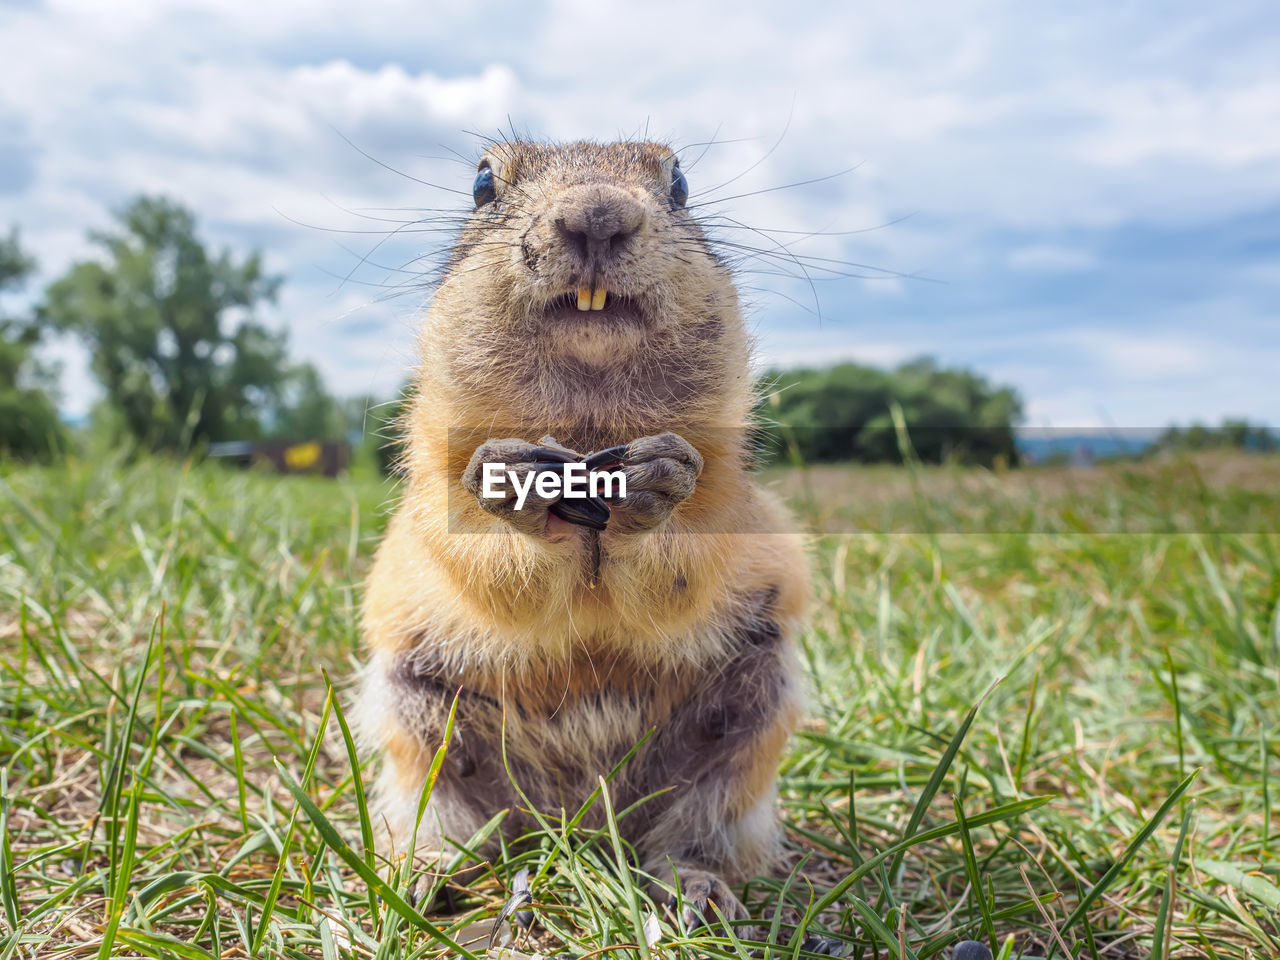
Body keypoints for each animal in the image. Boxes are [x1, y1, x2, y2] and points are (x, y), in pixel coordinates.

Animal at [350, 138, 808, 926]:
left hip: (749, 727)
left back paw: (696, 890)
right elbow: (482, 560)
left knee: (692, 834)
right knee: (450, 821)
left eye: (680, 182)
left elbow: (690, 560)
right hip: (417, 731)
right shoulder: (438, 482)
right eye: (482, 182)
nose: (598, 215)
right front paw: (518, 486)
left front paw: (655, 481)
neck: (588, 424)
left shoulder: (730, 490)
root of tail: (580, 826)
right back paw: (420, 874)